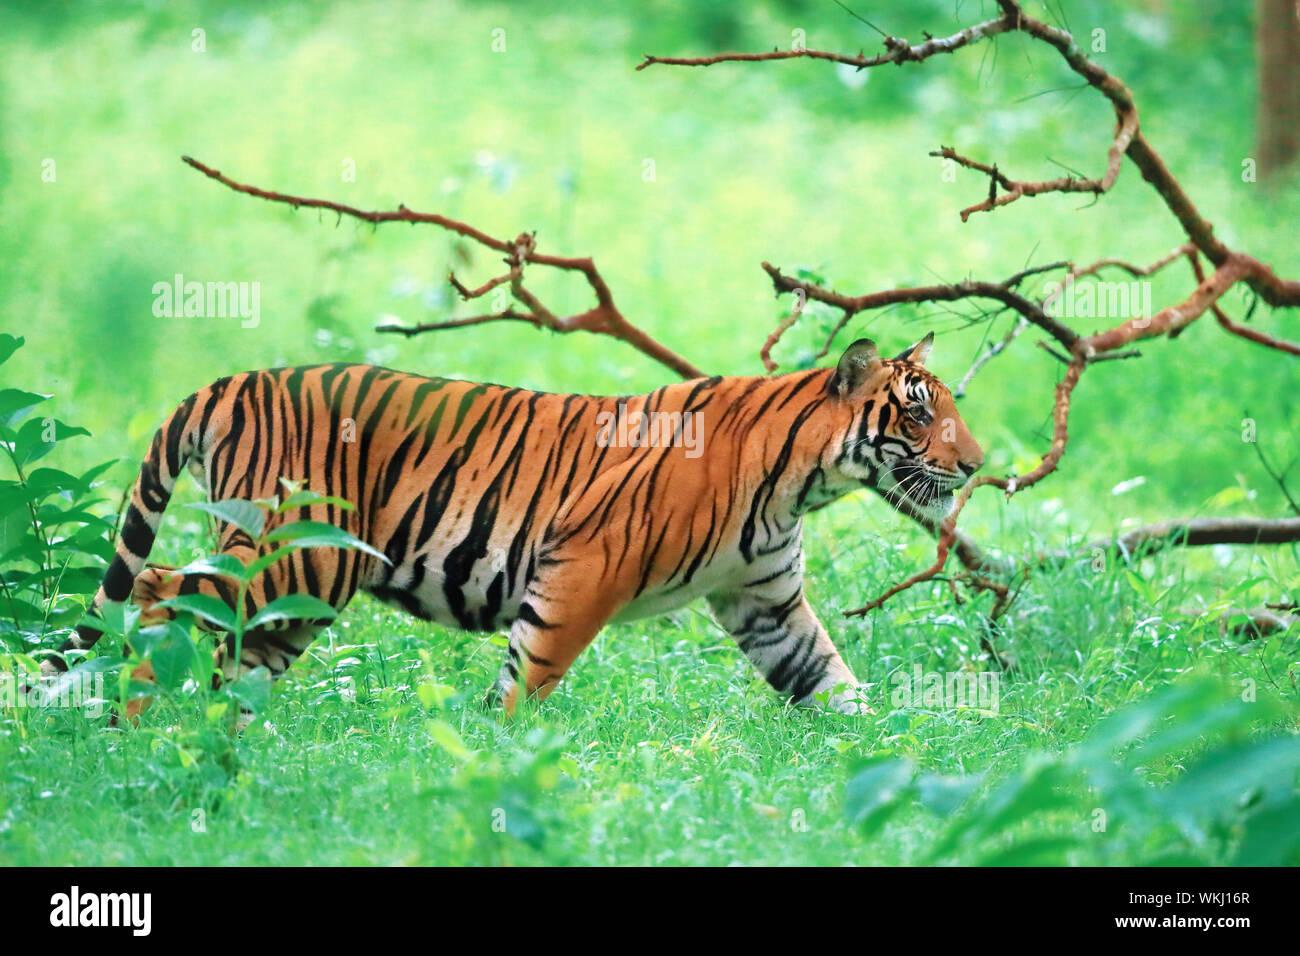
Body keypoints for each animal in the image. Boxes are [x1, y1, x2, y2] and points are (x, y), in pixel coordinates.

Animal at [40, 332, 977, 712]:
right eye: (919, 412)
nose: (973, 465)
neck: (802, 481)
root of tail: (231, 380)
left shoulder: (767, 602)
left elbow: (830, 681)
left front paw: (894, 756)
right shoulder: (585, 568)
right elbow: (530, 676)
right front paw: (499, 752)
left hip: (294, 595)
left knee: (227, 651)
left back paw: (225, 743)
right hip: (298, 557)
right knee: (158, 591)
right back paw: (135, 731)